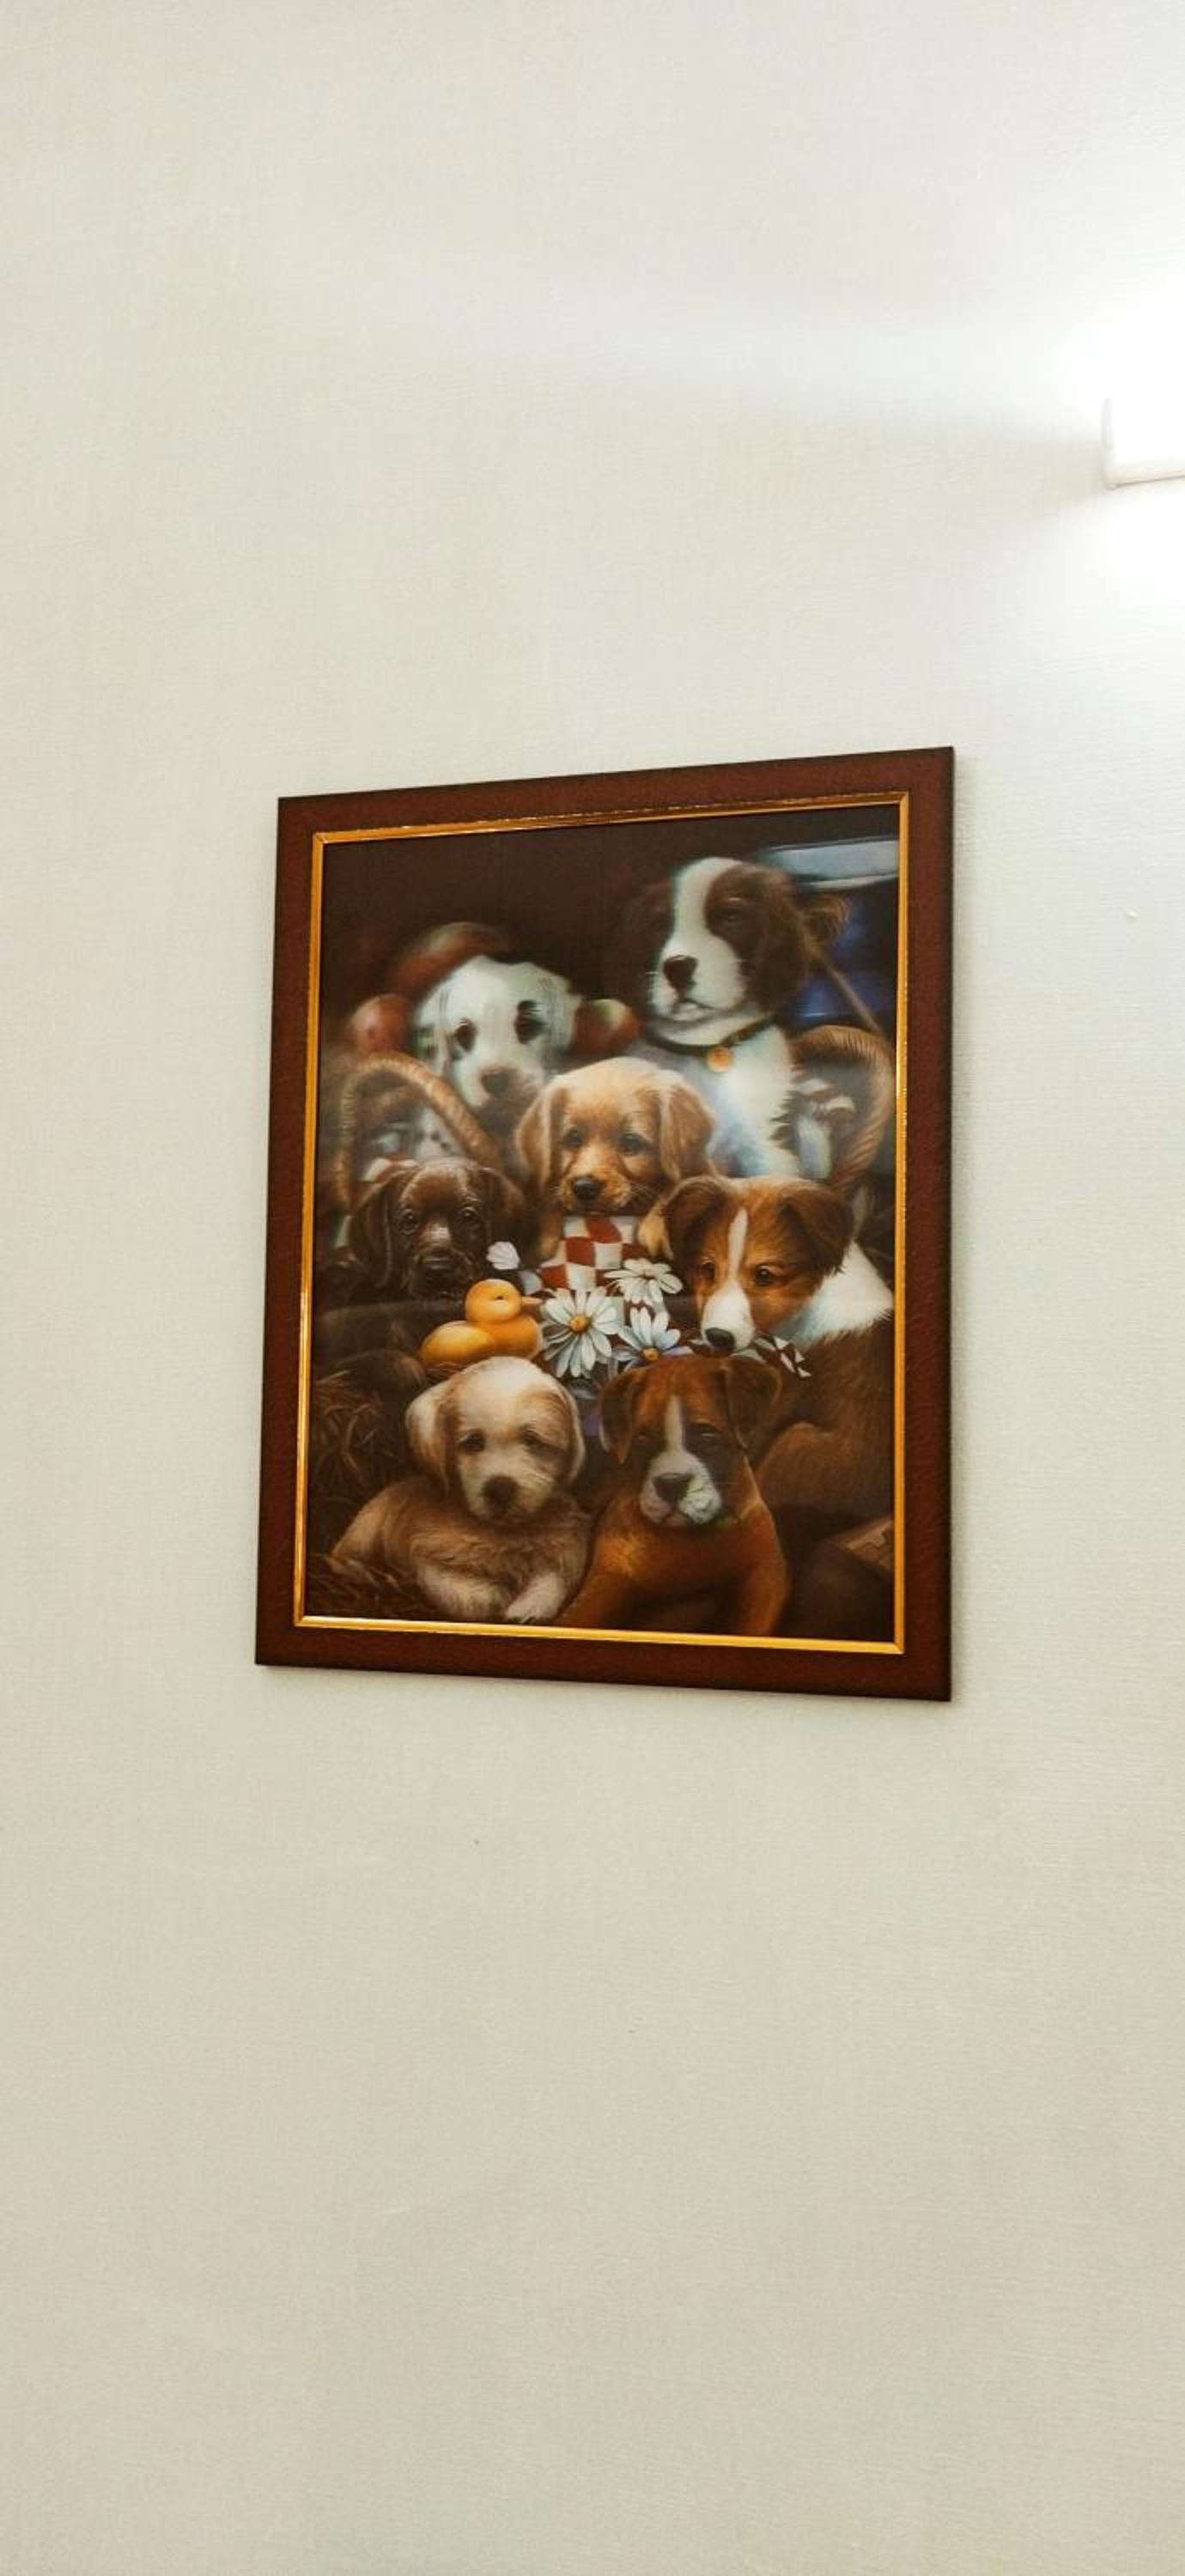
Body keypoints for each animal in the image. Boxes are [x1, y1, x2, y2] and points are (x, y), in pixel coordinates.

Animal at [333, 1355, 589, 1624]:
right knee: (341, 1556)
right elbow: (448, 1584)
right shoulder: (426, 1555)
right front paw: (487, 1596)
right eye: (473, 1442)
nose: (500, 1489)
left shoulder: (564, 1547)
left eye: (531, 1440)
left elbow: (554, 1580)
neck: (501, 1532)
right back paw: (369, 1574)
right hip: (366, 1528)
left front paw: (528, 1609)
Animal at [514, 1058, 714, 1285]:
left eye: (631, 1142)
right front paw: (541, 1243)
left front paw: (655, 1228)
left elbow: (679, 1184)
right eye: (573, 1139)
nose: (584, 1187)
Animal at [560, 1352, 788, 1634]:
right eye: (642, 1441)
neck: (688, 1538)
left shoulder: (764, 1579)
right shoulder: (606, 1583)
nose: (671, 1484)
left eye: (709, 1439)